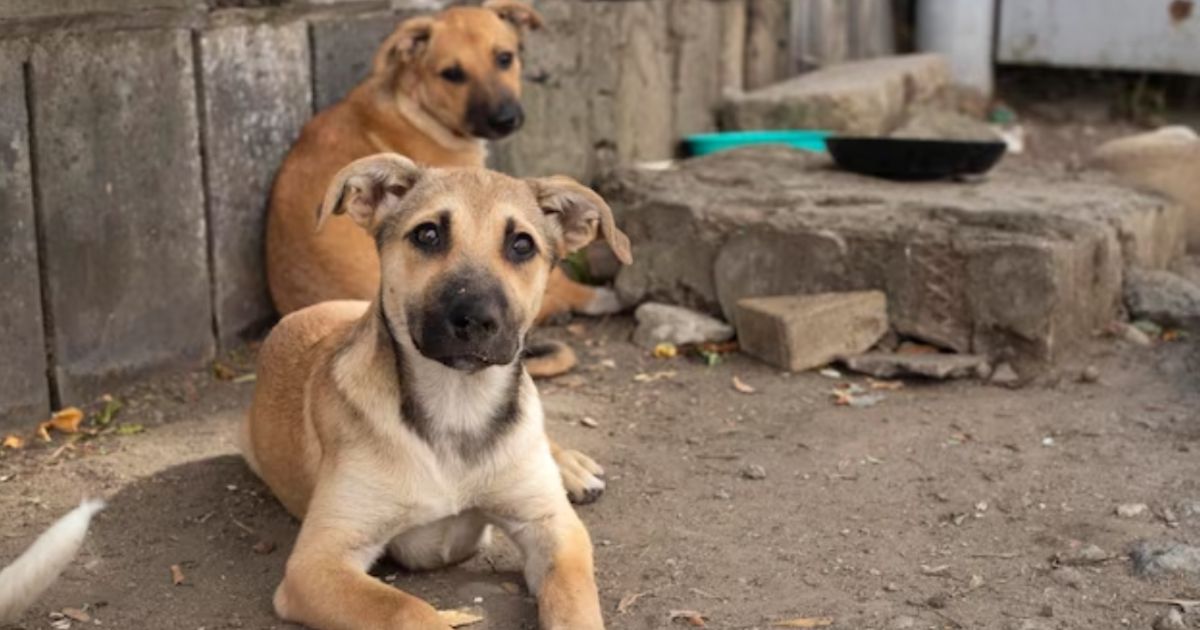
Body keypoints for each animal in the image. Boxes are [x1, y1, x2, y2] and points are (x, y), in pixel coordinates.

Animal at [240, 152, 628, 628]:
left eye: (522, 244)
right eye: (428, 234)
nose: (477, 319)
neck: (458, 404)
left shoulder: (554, 527)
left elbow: (574, 603)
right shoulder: (317, 562)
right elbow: (407, 609)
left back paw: (570, 467)